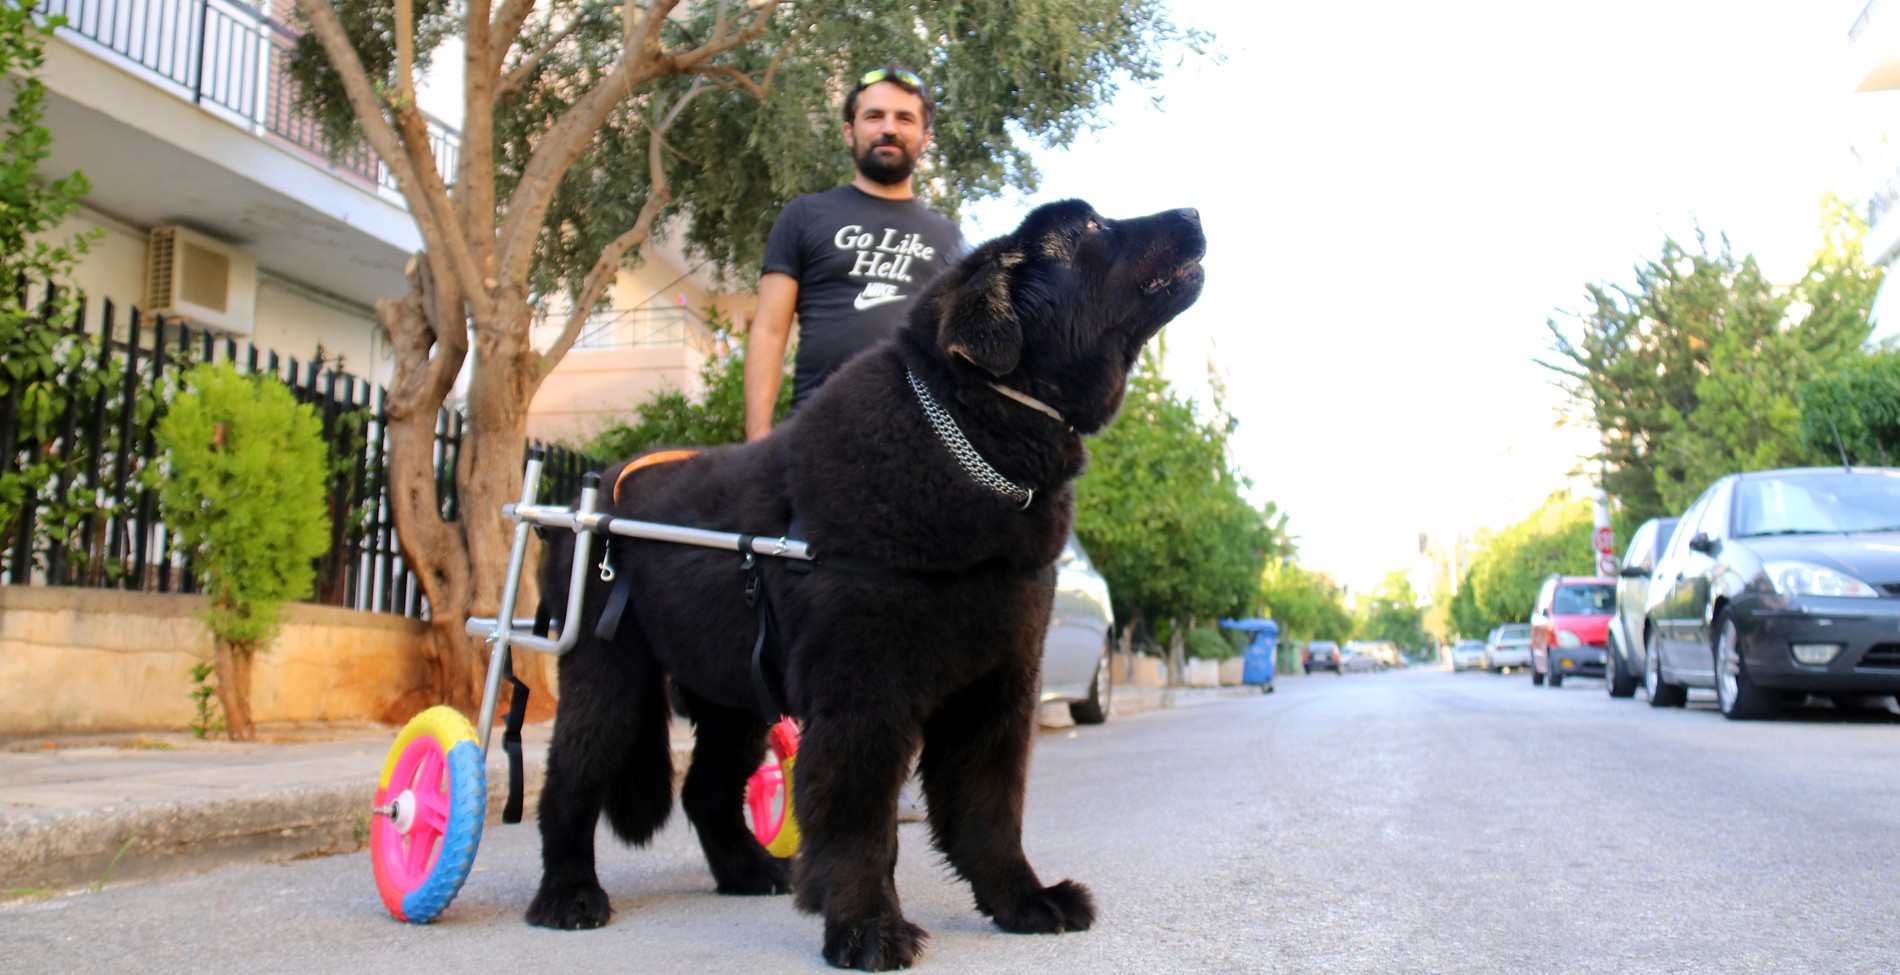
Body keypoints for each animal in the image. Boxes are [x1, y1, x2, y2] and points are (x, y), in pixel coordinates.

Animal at [524, 197, 1200, 965]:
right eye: (1088, 230)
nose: (1193, 211)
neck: (973, 438)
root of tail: (586, 493)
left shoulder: (998, 687)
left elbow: (991, 808)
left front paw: (1023, 902)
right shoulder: (865, 692)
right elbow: (858, 820)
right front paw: (866, 927)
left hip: (732, 691)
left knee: (706, 791)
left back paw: (752, 871)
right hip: (608, 673)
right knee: (569, 782)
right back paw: (568, 895)